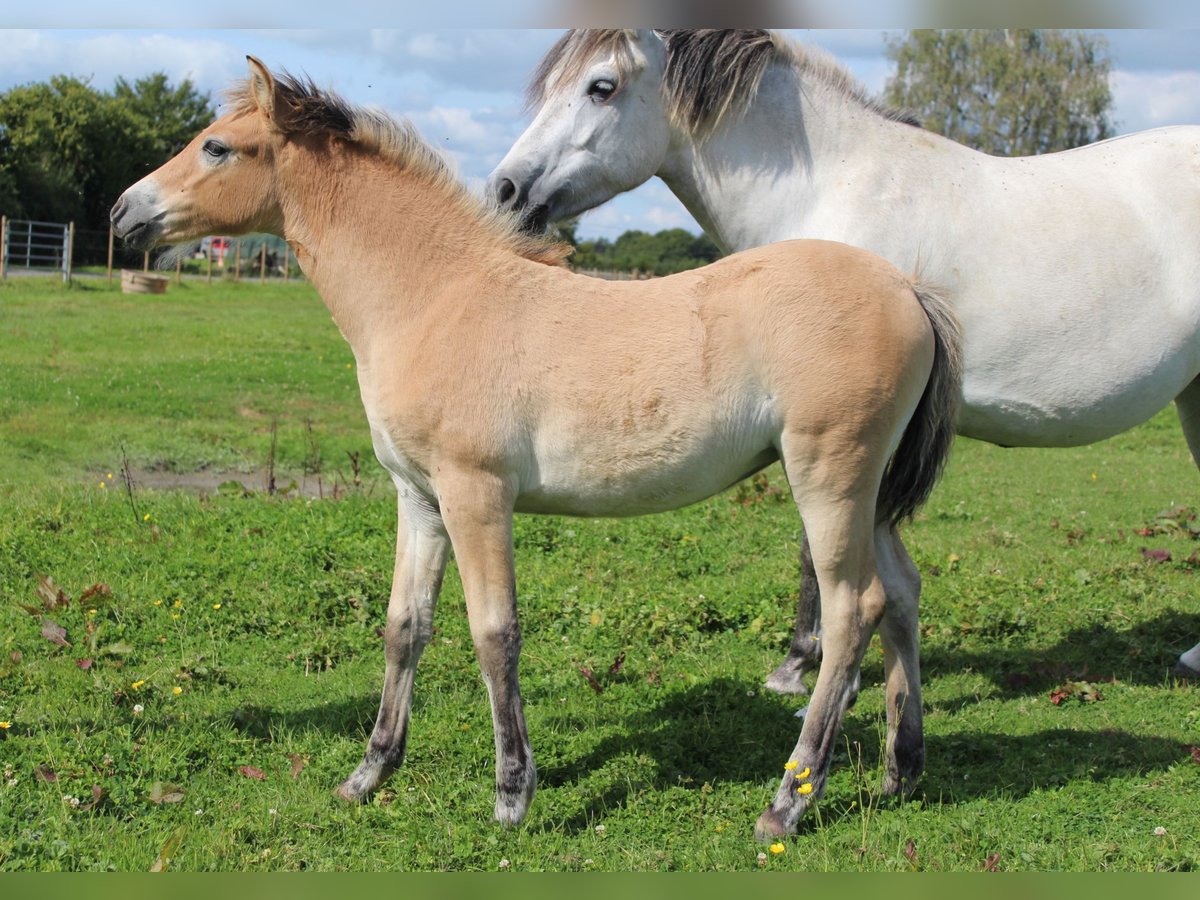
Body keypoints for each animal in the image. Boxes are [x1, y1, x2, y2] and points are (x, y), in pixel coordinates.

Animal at [108, 61, 960, 840]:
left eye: (217, 146)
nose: (122, 212)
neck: (435, 299)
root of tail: (909, 291)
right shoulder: (418, 497)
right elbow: (405, 627)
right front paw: (368, 774)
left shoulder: (476, 493)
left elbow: (495, 635)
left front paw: (513, 794)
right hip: (868, 494)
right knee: (903, 596)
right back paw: (901, 770)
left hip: (830, 478)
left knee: (853, 611)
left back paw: (787, 802)